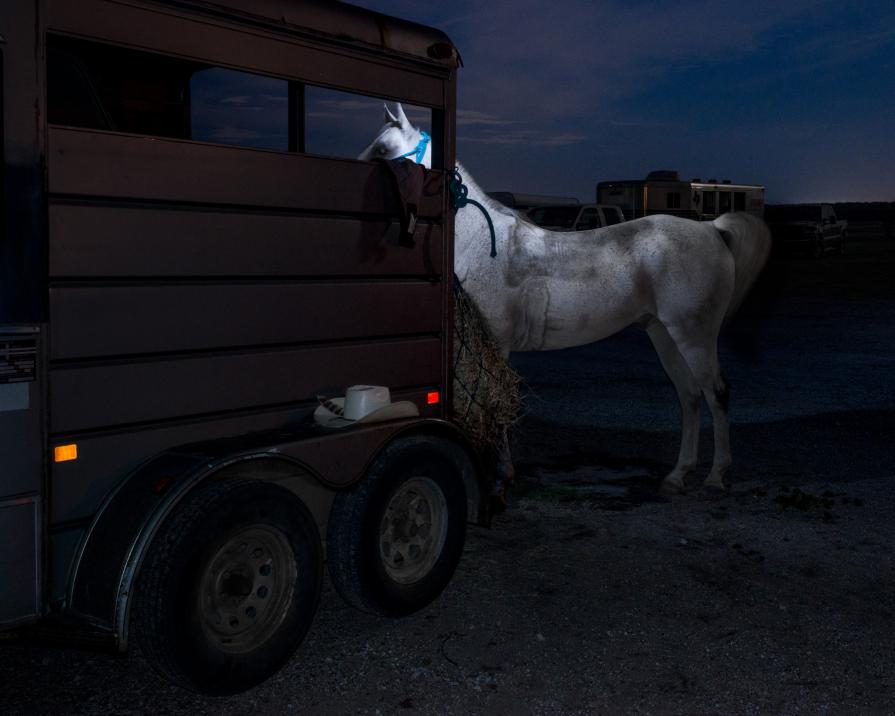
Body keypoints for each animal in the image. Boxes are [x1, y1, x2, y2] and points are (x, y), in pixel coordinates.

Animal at [360, 103, 771, 495]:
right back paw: (677, 476)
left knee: (717, 393)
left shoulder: (497, 344)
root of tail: (712, 228)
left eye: (382, 149)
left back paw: (716, 477)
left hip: (694, 335)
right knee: (690, 397)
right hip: (664, 335)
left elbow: (498, 403)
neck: (483, 244)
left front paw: (500, 477)